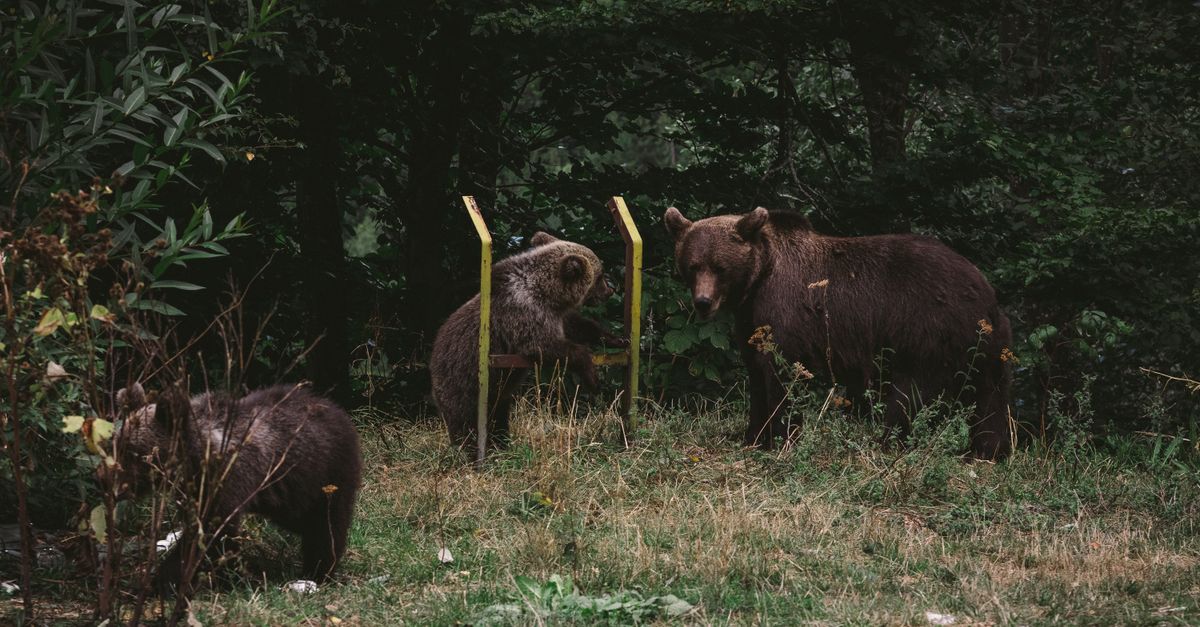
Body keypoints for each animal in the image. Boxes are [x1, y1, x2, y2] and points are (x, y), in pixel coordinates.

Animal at [110, 382, 361, 590]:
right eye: (118, 445)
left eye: (135, 453)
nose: (113, 486)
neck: (195, 455)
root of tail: (337, 410)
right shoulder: (193, 490)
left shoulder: (226, 480)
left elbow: (213, 533)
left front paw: (165, 580)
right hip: (291, 496)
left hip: (325, 474)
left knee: (326, 525)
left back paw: (318, 572)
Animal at [430, 232, 625, 457]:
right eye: (599, 276)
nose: (611, 289)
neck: (548, 294)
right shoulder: (524, 314)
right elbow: (545, 347)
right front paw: (593, 379)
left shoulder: (556, 316)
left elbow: (578, 326)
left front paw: (617, 338)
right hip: (462, 381)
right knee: (465, 422)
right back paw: (471, 452)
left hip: (497, 393)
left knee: (498, 417)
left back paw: (500, 444)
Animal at [663, 206, 1012, 459]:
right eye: (693, 265)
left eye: (720, 267)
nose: (703, 302)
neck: (758, 279)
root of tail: (985, 290)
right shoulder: (750, 322)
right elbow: (757, 374)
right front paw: (753, 435)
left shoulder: (784, 311)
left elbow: (782, 374)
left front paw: (780, 437)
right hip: (986, 346)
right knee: (990, 396)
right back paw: (988, 451)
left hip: (927, 331)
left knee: (909, 393)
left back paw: (885, 443)